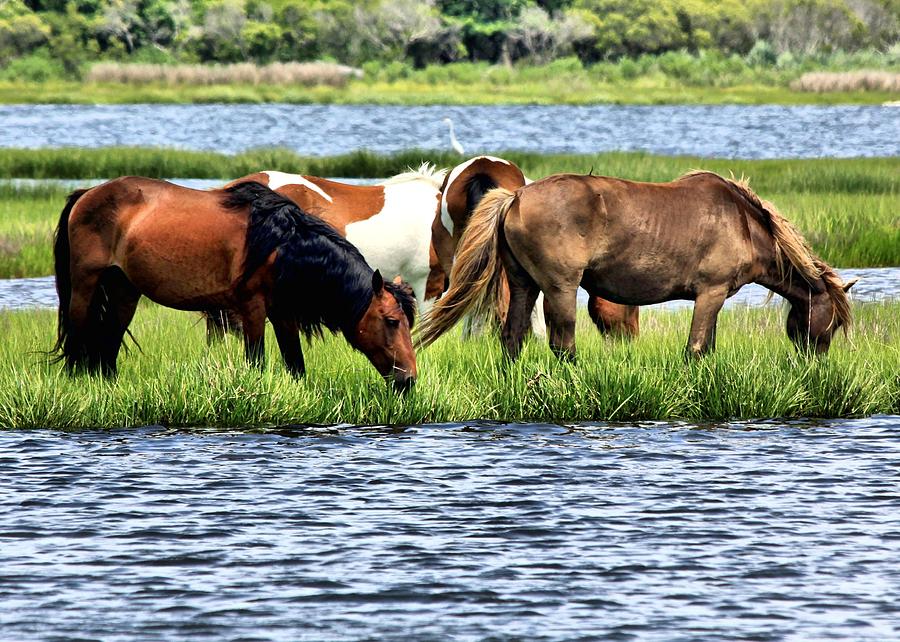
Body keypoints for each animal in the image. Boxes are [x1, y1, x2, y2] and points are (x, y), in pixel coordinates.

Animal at [54, 176, 420, 390]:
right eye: (392, 321)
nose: (408, 379)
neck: (280, 244)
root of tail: (87, 194)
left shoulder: (283, 311)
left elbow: (295, 363)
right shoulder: (252, 308)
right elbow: (257, 360)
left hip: (124, 290)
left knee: (109, 342)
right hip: (86, 284)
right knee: (77, 334)